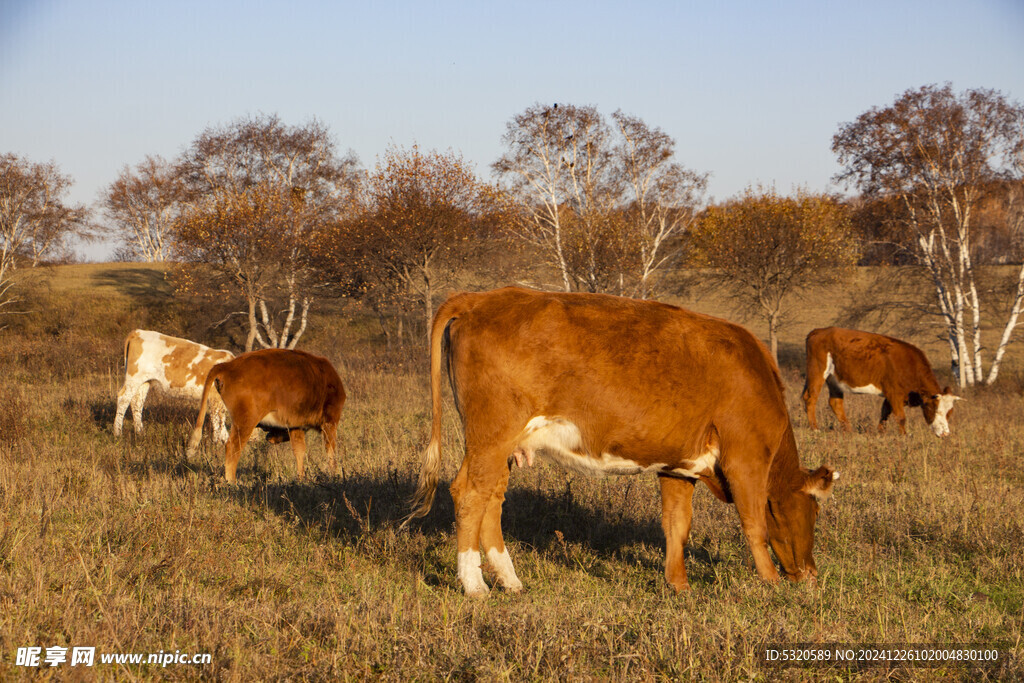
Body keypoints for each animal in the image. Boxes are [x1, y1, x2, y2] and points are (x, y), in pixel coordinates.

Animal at [191, 350, 348, 483]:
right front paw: (334, 477)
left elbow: (299, 452)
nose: (269, 436)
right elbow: (331, 454)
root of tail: (228, 365)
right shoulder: (330, 422)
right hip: (245, 422)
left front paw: (301, 479)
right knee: (232, 448)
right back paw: (232, 483)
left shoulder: (295, 427)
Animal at [401, 288, 839, 598]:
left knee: (492, 499)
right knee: (469, 494)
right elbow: (754, 524)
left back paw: (511, 581)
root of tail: (482, 297)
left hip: (503, 445)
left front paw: (679, 585)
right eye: (812, 511)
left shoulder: (678, 466)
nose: (811, 575)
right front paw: (771, 583)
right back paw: (475, 586)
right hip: (491, 435)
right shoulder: (745, 459)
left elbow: (677, 525)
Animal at [802, 327, 962, 438]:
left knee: (835, 403)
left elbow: (885, 412)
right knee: (811, 398)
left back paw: (848, 430)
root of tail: (819, 331)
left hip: (835, 380)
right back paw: (815, 429)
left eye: (950, 413)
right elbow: (900, 417)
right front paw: (904, 435)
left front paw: (880, 432)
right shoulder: (894, 392)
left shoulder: (894, 395)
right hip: (817, 371)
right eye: (935, 410)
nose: (945, 434)